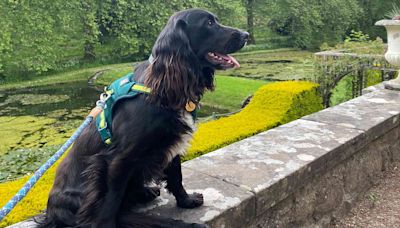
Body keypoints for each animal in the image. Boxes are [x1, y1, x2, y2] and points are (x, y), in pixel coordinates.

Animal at [39, 8, 248, 228]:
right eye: (209, 23)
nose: (246, 35)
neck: (162, 88)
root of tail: (51, 212)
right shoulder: (117, 159)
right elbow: (110, 201)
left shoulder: (170, 142)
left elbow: (176, 176)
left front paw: (186, 201)